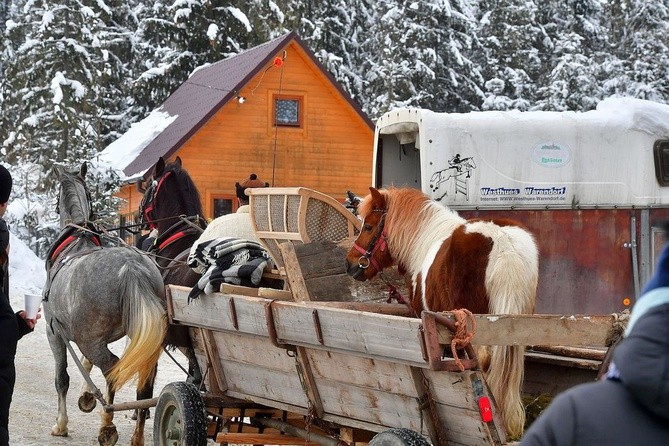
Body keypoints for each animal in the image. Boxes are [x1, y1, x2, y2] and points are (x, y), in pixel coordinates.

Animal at [44, 165, 167, 446]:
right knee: (144, 381)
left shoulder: (55, 332)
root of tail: (132, 267)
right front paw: (87, 397)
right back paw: (137, 435)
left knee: (112, 369)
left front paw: (61, 424)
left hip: (88, 339)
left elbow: (61, 378)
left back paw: (108, 424)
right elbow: (85, 364)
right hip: (142, 337)